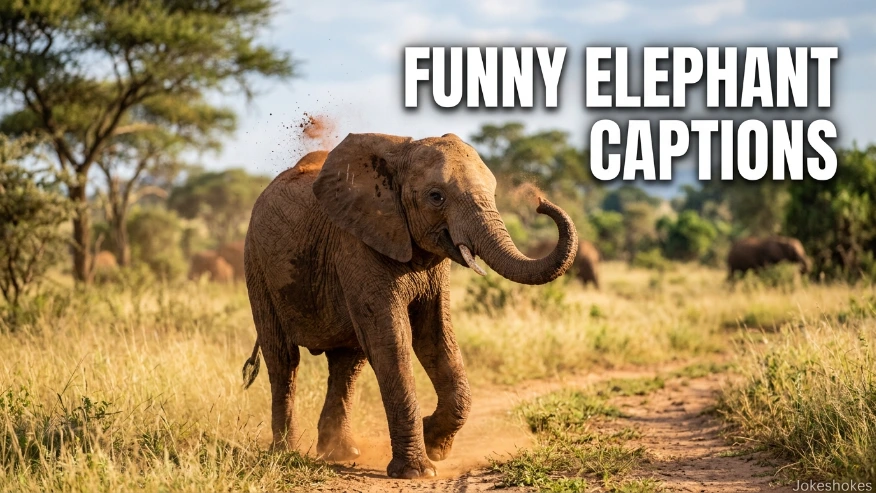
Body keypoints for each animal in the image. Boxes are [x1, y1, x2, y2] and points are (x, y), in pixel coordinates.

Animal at [240, 133, 578, 479]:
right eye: (436, 196)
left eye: (493, 194)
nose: (539, 201)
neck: (400, 152)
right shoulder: (357, 244)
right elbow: (392, 341)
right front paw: (418, 471)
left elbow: (435, 338)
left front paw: (434, 445)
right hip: (256, 265)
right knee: (283, 359)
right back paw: (286, 452)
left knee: (347, 363)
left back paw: (341, 452)